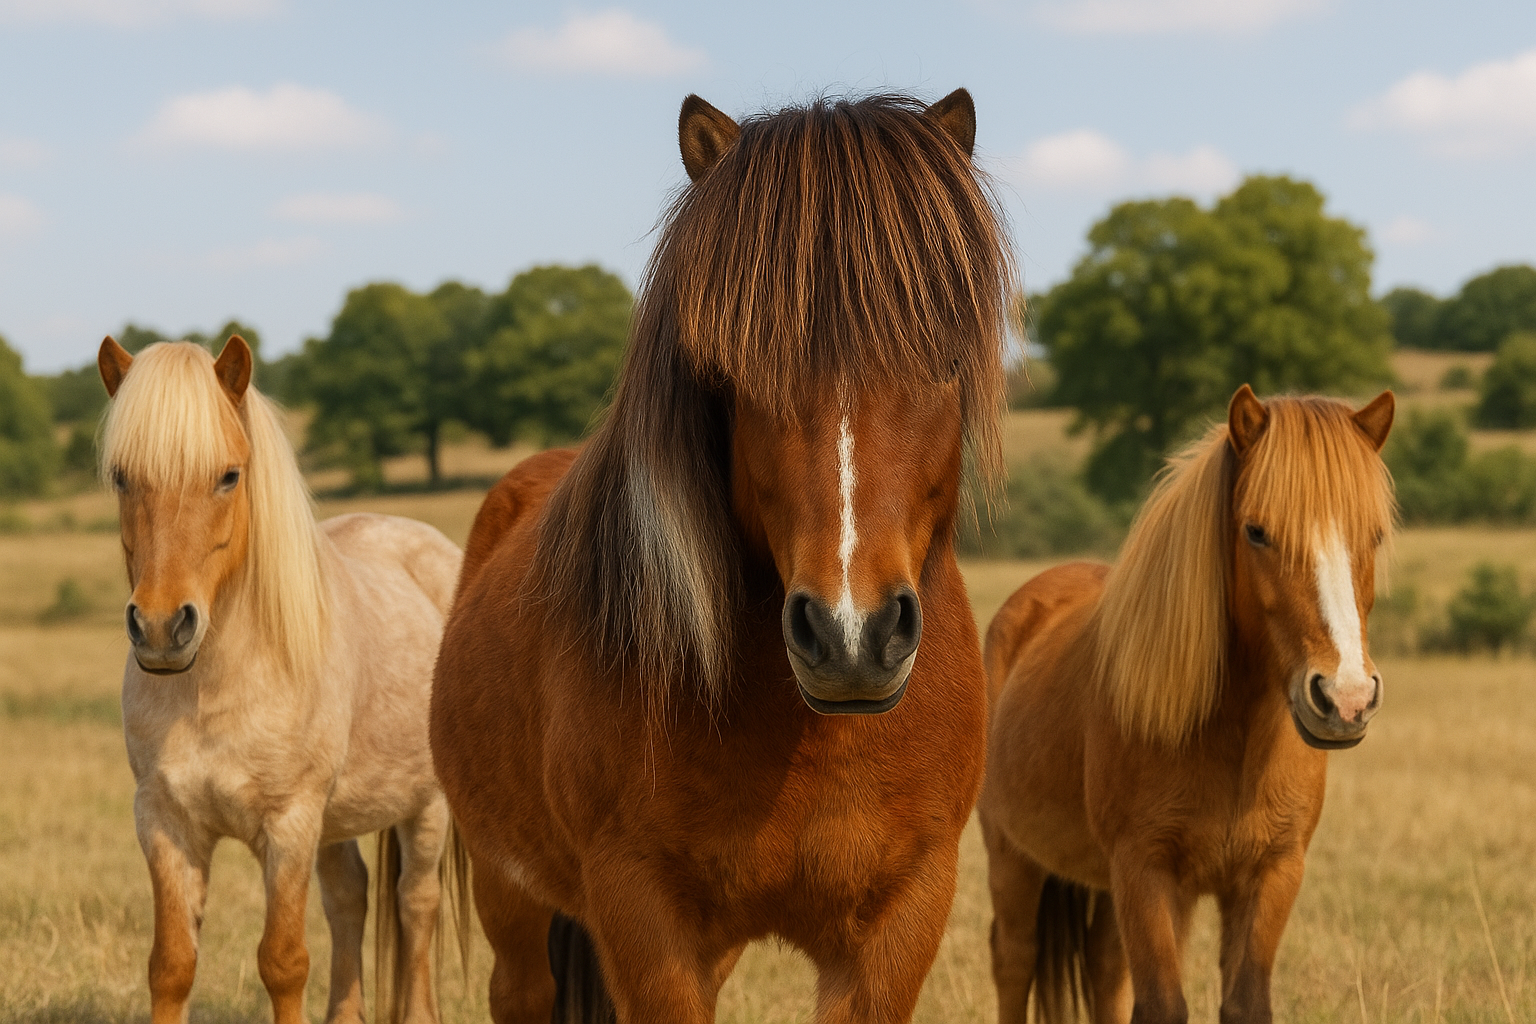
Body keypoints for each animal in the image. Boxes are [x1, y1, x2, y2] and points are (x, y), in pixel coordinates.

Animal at [96, 336, 469, 1024]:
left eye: (228, 476)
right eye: (121, 476)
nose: (161, 628)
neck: (215, 687)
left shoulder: (290, 823)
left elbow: (283, 961)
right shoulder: (164, 822)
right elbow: (172, 965)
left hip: (426, 807)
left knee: (416, 904)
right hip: (337, 818)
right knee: (351, 898)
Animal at [429, 89, 1013, 1024]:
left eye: (944, 355)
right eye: (736, 366)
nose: (852, 635)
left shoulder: (899, 923)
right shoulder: (645, 920)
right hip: (510, 897)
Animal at [977, 384, 1396, 1023]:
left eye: (1373, 535)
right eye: (1256, 531)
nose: (1345, 696)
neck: (1234, 738)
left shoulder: (1271, 874)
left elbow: (1243, 1003)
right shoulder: (1145, 871)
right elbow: (1161, 1005)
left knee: (1104, 970)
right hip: (1013, 859)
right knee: (1013, 962)